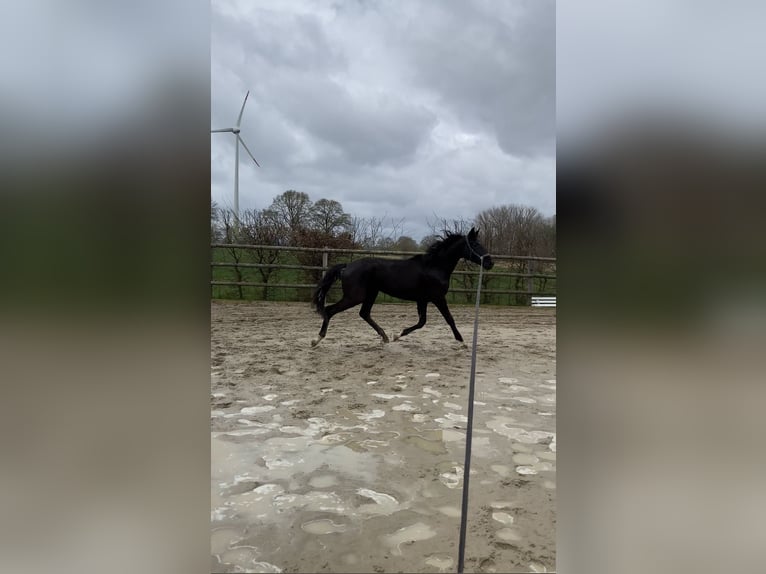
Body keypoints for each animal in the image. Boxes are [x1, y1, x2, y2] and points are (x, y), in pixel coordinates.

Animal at [310, 228, 496, 346]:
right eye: (476, 245)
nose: (490, 262)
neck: (434, 267)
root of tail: (347, 267)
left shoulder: (423, 300)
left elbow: (422, 322)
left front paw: (397, 335)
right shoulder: (437, 298)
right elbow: (449, 319)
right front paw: (462, 342)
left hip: (371, 293)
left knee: (364, 313)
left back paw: (385, 337)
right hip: (355, 296)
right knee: (330, 310)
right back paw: (316, 340)